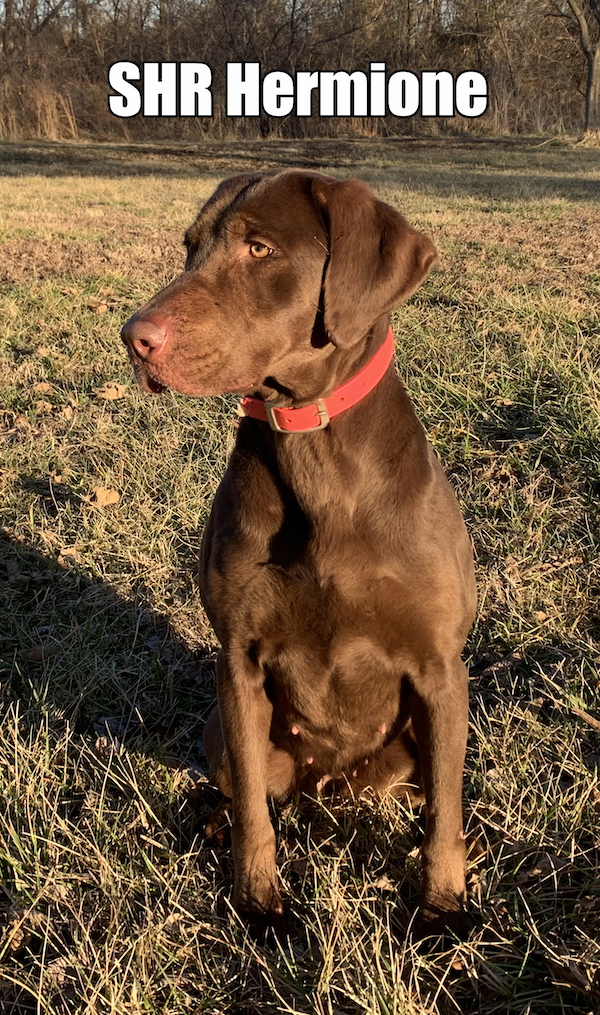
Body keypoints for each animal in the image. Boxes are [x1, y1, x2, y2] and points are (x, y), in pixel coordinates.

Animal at [121, 170, 477, 937]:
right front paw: (257, 902)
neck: (315, 451)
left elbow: (446, 814)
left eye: (260, 248)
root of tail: (327, 784)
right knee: (248, 791)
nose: (135, 339)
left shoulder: (441, 669)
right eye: (191, 247)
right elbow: (256, 814)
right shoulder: (239, 662)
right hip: (222, 729)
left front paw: (442, 905)